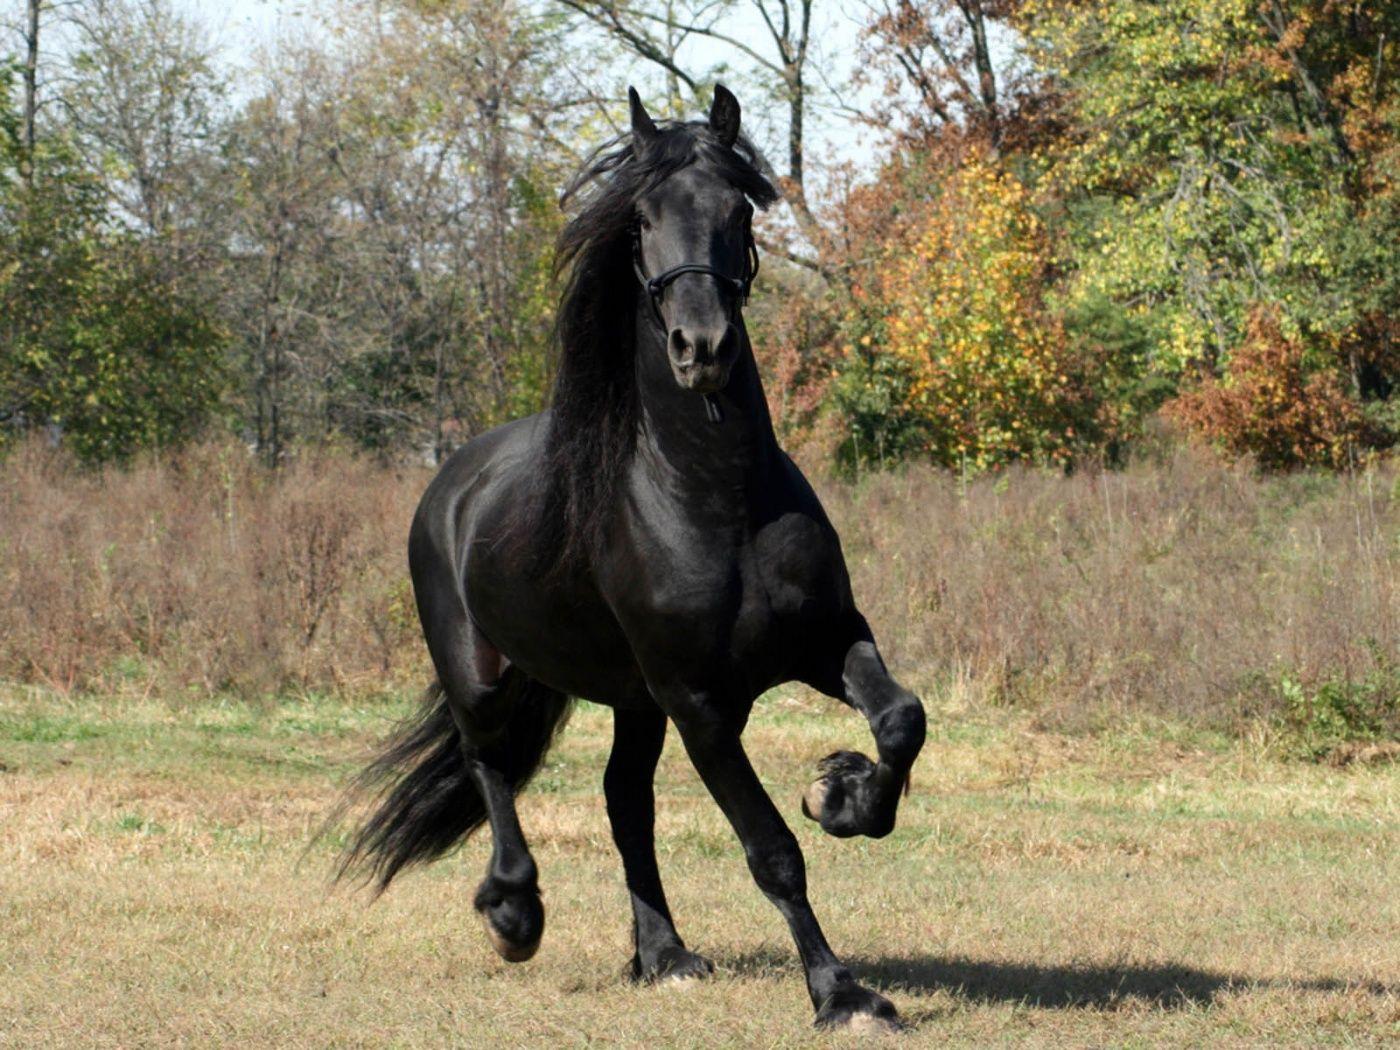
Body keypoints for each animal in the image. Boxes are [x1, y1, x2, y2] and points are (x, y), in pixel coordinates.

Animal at [338, 84, 927, 1031]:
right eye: (641, 220)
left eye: (738, 210)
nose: (702, 348)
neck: (717, 499)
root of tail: (452, 483)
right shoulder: (701, 706)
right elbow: (772, 851)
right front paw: (843, 995)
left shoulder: (825, 641)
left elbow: (901, 720)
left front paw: (839, 792)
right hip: (488, 677)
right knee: (490, 763)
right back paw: (514, 913)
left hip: (631, 700)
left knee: (623, 802)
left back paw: (665, 954)